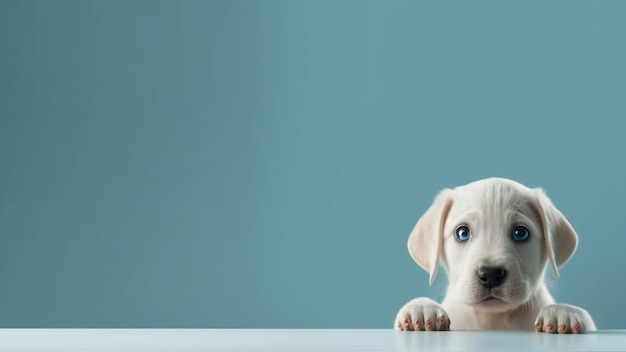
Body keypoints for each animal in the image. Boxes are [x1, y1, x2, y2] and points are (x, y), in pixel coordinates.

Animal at [394, 177, 596, 334]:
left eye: (521, 233)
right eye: (462, 233)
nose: (490, 274)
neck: (492, 320)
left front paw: (563, 312)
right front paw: (421, 308)